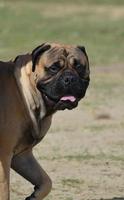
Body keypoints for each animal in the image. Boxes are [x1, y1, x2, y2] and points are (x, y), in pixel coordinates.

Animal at [0, 43, 89, 199]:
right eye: (53, 68)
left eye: (78, 66)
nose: (69, 78)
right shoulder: (4, 156)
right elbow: (4, 191)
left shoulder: (22, 155)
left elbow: (46, 181)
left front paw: (34, 195)